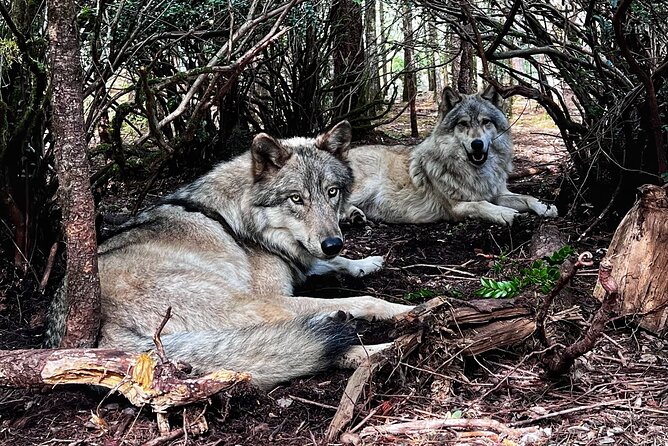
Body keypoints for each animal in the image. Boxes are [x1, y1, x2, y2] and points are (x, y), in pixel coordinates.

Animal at [48, 121, 412, 390]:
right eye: (296, 198)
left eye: (332, 192)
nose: (334, 242)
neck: (242, 221)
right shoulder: (276, 291)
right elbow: (364, 297)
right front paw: (402, 309)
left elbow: (332, 264)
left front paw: (366, 263)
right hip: (254, 306)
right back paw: (387, 346)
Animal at [345, 85, 558, 226]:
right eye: (463, 123)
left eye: (486, 122)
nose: (477, 144)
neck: (477, 174)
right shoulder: (457, 207)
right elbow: (481, 205)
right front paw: (507, 213)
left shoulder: (497, 193)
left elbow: (526, 197)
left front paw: (545, 206)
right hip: (366, 186)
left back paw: (355, 216)